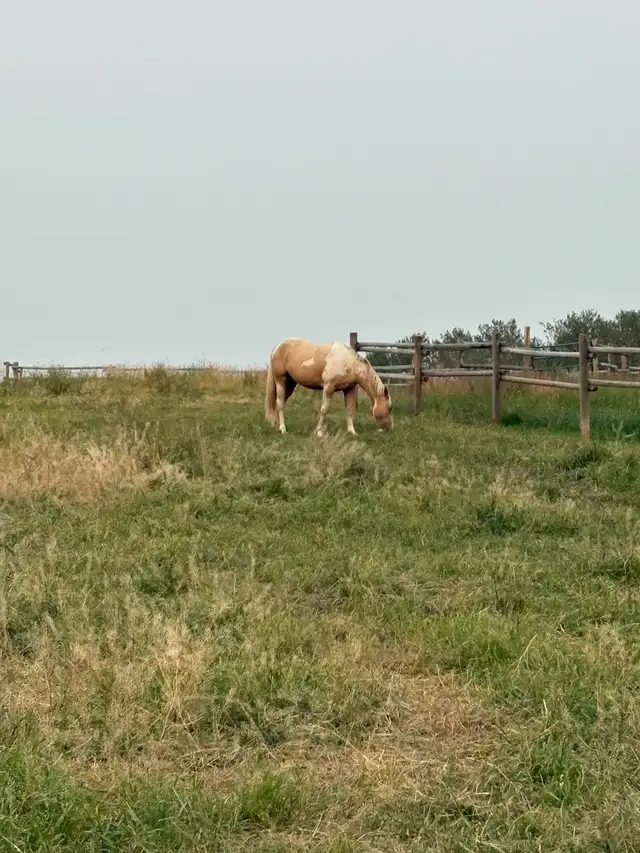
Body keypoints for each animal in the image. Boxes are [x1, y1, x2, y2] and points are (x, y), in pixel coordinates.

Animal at [265, 337, 393, 437]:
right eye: (389, 408)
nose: (389, 429)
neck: (349, 362)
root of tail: (278, 347)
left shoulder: (349, 389)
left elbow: (350, 409)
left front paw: (352, 431)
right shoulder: (328, 388)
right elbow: (324, 409)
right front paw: (319, 432)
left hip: (291, 384)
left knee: (279, 403)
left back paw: (276, 426)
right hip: (281, 381)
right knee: (279, 403)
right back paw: (283, 429)